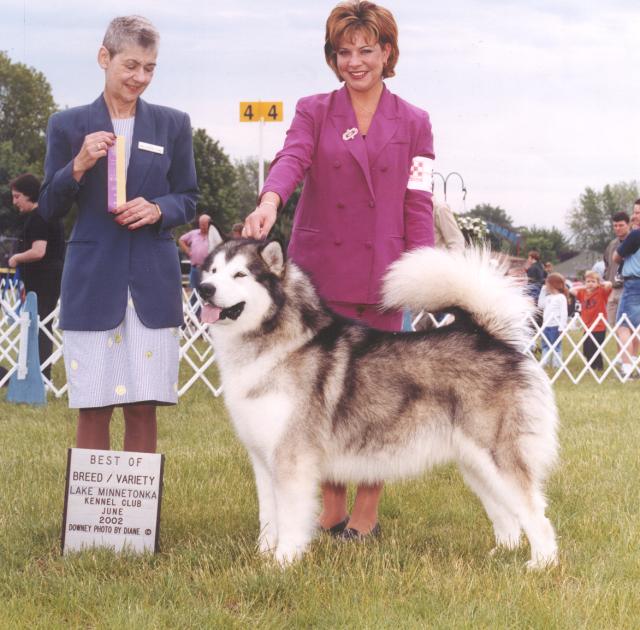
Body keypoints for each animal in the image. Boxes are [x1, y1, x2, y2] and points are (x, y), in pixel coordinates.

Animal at [198, 228, 556, 572]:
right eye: (213, 270)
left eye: (240, 274)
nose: (203, 289)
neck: (275, 343)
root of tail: (488, 337)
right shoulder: (263, 459)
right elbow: (268, 518)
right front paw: (261, 558)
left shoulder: (291, 459)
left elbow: (288, 520)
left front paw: (283, 563)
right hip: (475, 464)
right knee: (506, 513)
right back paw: (502, 553)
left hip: (496, 457)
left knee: (535, 513)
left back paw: (541, 564)